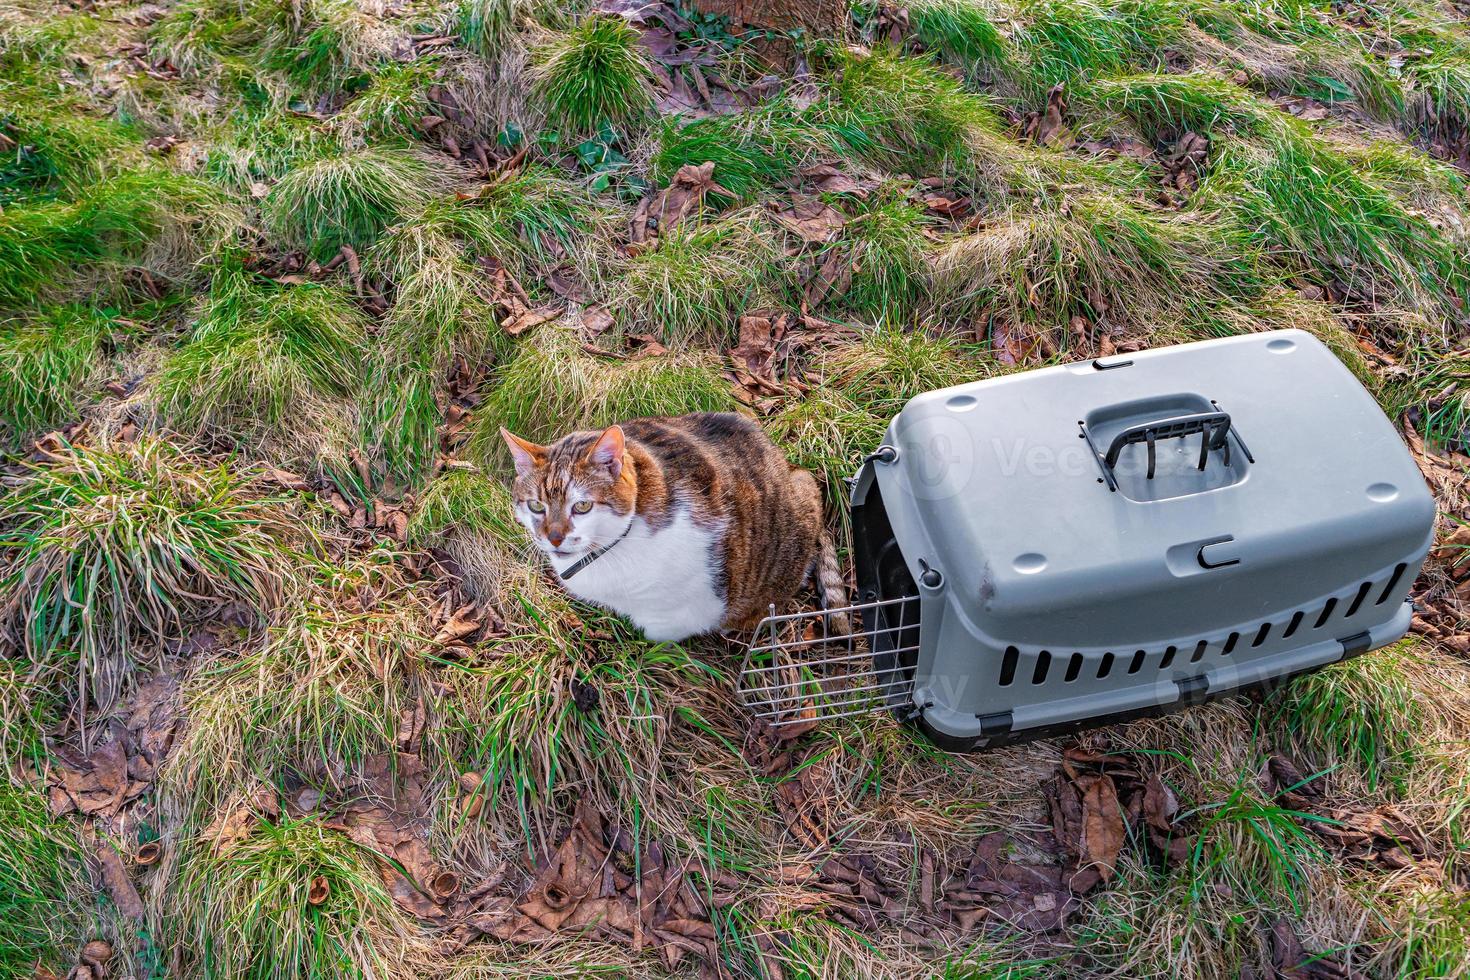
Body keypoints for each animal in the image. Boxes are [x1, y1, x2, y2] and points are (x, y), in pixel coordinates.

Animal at [499, 414, 846, 643]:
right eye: (536, 506)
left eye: (582, 506)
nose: (553, 537)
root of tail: (792, 467)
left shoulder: (681, 611)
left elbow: (659, 635)